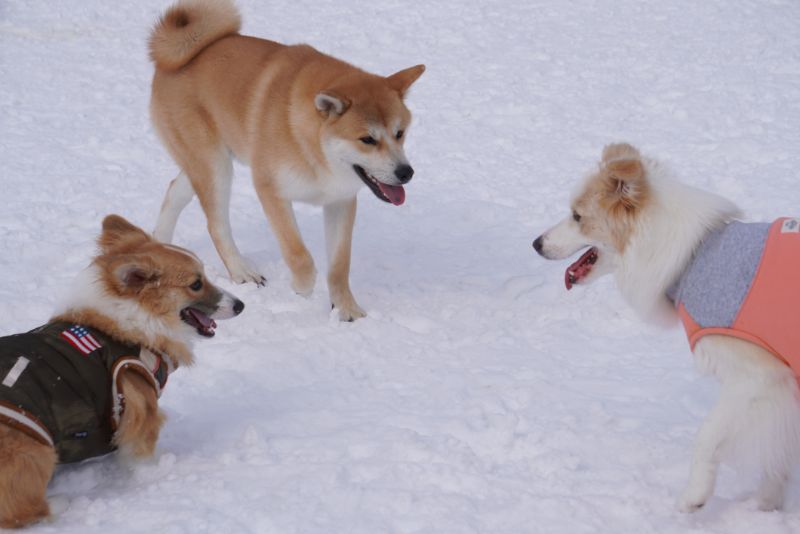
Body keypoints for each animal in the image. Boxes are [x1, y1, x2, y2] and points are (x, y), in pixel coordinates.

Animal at [0, 216, 244, 528]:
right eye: (196, 284)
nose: (241, 305)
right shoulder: (140, 404)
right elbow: (143, 451)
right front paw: (155, 472)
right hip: (36, 447)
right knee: (19, 509)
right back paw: (59, 503)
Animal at [148, 0, 428, 322]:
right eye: (367, 139)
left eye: (400, 133)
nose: (406, 172)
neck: (317, 152)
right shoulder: (271, 190)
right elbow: (299, 255)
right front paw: (302, 289)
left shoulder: (341, 201)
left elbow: (339, 267)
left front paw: (347, 311)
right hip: (215, 166)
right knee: (216, 224)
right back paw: (242, 272)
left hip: (205, 162)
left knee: (174, 191)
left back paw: (160, 246)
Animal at [532, 143, 800, 516]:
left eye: (577, 216)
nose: (536, 243)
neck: (693, 256)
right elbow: (779, 458)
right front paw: (767, 506)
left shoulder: (758, 376)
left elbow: (708, 435)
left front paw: (696, 495)